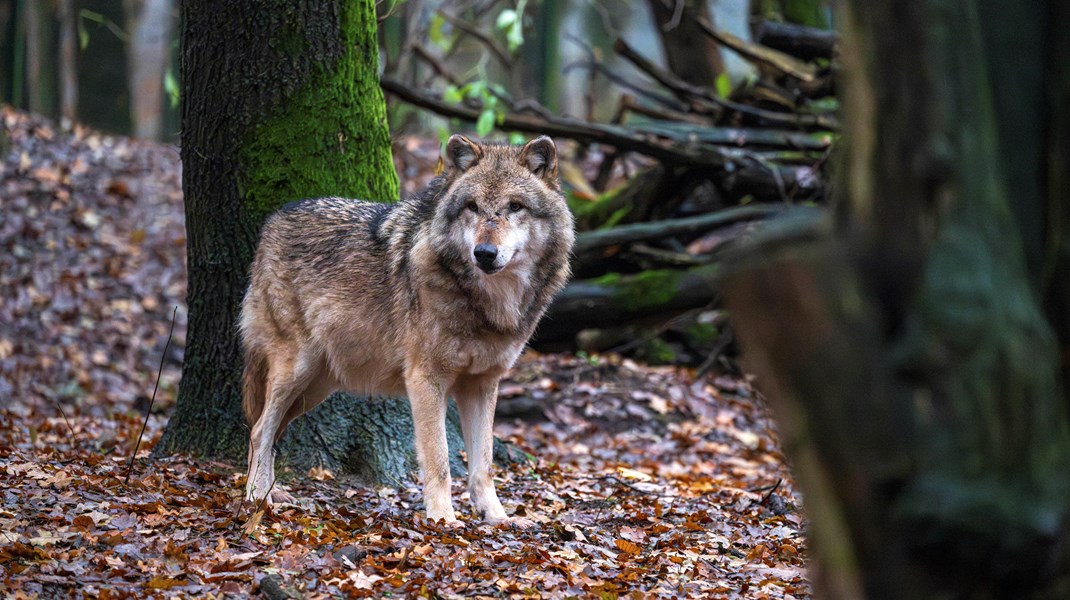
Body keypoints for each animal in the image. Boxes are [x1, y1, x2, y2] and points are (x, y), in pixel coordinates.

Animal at [238, 133, 573, 521]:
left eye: (515, 206)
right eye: (472, 207)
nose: (484, 253)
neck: (487, 302)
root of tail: (274, 218)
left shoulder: (482, 384)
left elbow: (484, 464)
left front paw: (496, 517)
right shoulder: (425, 379)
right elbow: (439, 460)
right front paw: (443, 519)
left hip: (315, 387)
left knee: (269, 433)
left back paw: (271, 495)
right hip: (296, 369)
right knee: (259, 431)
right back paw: (256, 499)